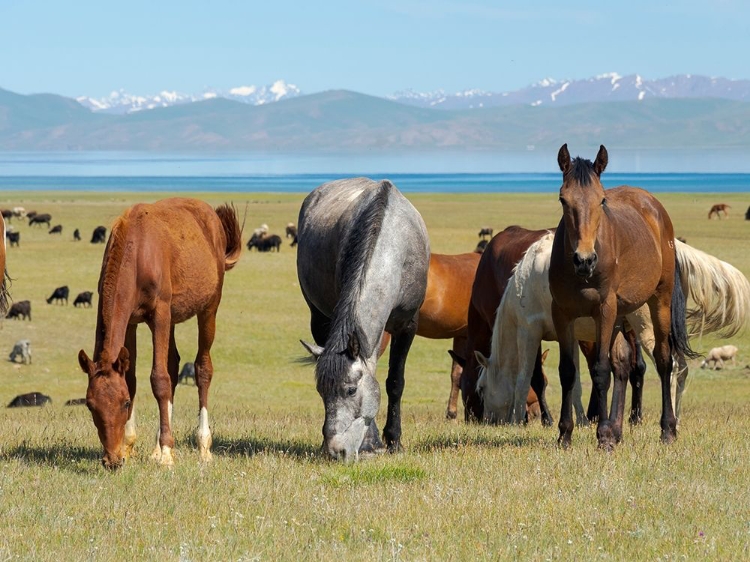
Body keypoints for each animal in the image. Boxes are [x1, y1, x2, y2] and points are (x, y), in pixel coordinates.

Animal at [76, 198, 242, 468]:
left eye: (125, 403)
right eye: (90, 406)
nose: (111, 460)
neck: (138, 252)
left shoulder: (160, 314)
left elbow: (159, 379)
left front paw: (166, 453)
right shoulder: (131, 322)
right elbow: (133, 377)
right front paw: (129, 447)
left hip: (208, 308)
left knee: (203, 368)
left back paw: (203, 445)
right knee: (173, 365)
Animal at [296, 176, 432, 460]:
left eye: (350, 390)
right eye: (320, 391)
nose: (334, 450)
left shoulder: (407, 326)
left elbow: (395, 382)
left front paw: (394, 441)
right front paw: (371, 443)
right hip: (319, 316)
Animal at [548, 142, 700, 448]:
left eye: (601, 201)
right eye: (563, 199)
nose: (584, 260)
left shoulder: (603, 311)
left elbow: (600, 370)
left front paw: (603, 436)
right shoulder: (562, 313)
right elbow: (568, 371)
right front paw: (565, 434)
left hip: (659, 301)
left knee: (663, 359)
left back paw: (667, 429)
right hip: (623, 314)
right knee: (623, 363)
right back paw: (617, 431)